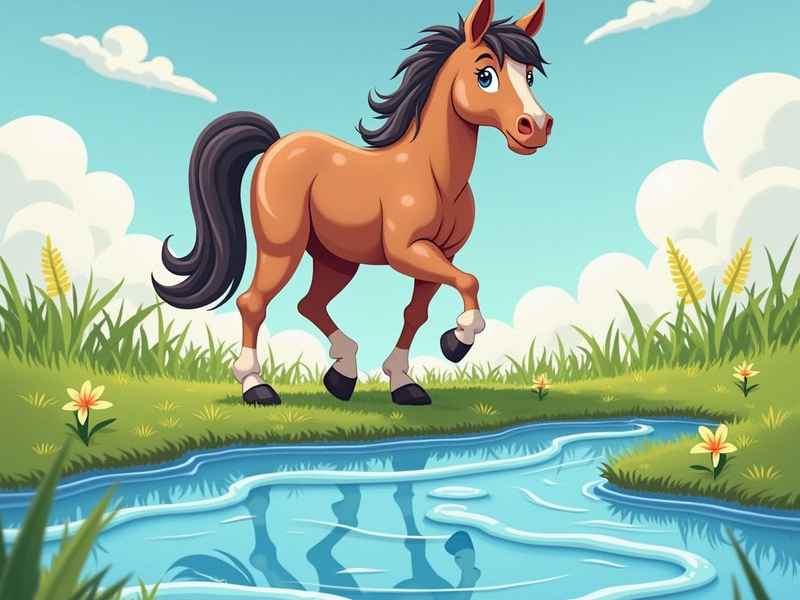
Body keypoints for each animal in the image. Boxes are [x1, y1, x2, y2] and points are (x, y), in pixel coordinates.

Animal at [153, 0, 553, 407]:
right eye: (485, 75)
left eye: (530, 76)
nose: (536, 126)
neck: (434, 175)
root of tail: (276, 145)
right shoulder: (407, 251)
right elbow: (469, 281)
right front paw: (457, 342)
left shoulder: (442, 253)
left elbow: (417, 312)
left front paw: (405, 383)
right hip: (282, 249)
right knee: (253, 303)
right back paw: (257, 386)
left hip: (336, 260)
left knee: (310, 304)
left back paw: (341, 376)